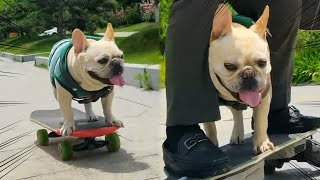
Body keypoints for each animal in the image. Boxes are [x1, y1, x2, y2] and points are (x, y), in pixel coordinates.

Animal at [205, 4, 276, 154]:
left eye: (263, 62)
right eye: (229, 66)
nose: (248, 74)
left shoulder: (264, 96)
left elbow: (261, 121)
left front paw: (262, 143)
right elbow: (210, 126)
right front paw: (211, 144)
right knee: (236, 112)